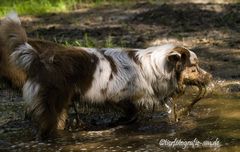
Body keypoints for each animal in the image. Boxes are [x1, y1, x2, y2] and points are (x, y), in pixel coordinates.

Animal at [0, 12, 211, 139]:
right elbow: (132, 112)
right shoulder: (124, 96)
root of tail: (37, 58)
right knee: (46, 128)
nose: (210, 77)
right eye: (194, 67)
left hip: (60, 107)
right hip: (53, 104)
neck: (156, 67)